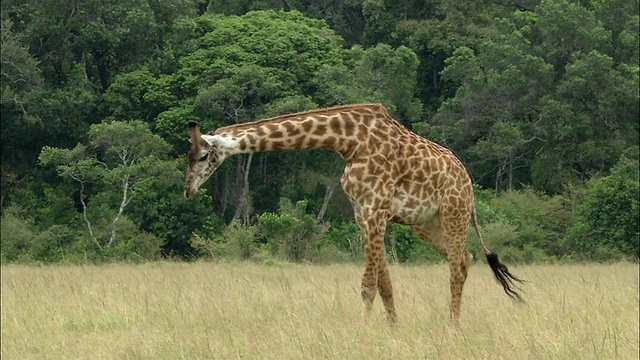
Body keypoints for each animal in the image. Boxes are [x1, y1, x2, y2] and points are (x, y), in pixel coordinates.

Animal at [182, 103, 524, 324]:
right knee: (465, 259)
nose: (188, 190)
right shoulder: (364, 212)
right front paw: (392, 329)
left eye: (203, 156)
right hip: (427, 223)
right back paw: (452, 320)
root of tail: (469, 184)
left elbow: (367, 285)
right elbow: (385, 284)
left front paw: (363, 332)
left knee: (456, 265)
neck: (348, 141)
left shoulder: (375, 208)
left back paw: (452, 326)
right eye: (189, 155)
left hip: (454, 212)